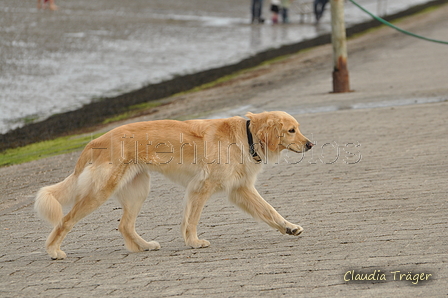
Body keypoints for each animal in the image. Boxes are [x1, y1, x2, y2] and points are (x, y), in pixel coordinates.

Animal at [35, 111, 314, 258]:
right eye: (291, 130)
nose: (311, 145)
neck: (246, 136)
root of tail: (94, 142)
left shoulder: (239, 189)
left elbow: (270, 211)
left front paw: (289, 228)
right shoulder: (201, 187)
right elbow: (192, 220)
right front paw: (194, 242)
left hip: (138, 190)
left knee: (124, 226)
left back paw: (144, 246)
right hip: (100, 192)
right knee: (65, 220)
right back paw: (54, 251)